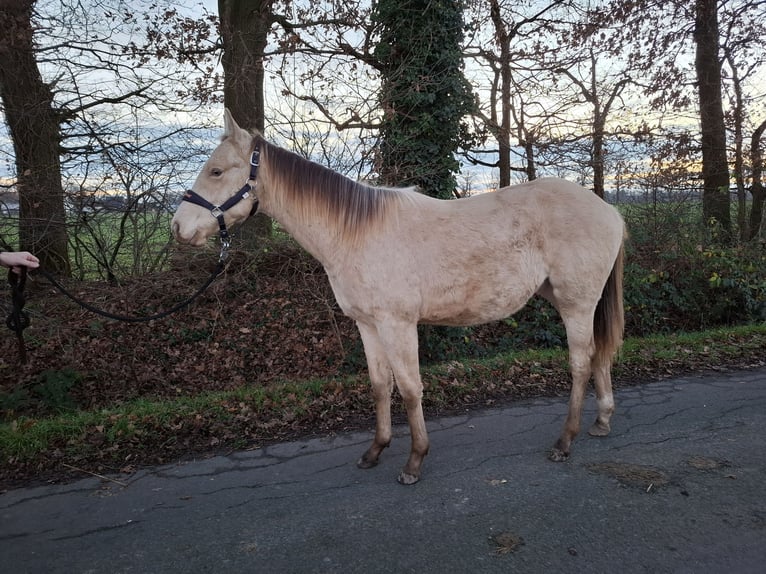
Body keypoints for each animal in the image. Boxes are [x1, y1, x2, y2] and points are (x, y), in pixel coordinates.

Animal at [171, 109, 628, 486]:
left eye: (216, 171)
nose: (178, 227)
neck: (354, 233)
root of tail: (608, 210)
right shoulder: (368, 324)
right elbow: (379, 385)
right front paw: (376, 450)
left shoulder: (398, 324)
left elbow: (409, 389)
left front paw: (414, 461)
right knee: (598, 356)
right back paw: (603, 420)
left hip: (576, 304)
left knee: (581, 363)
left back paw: (565, 441)